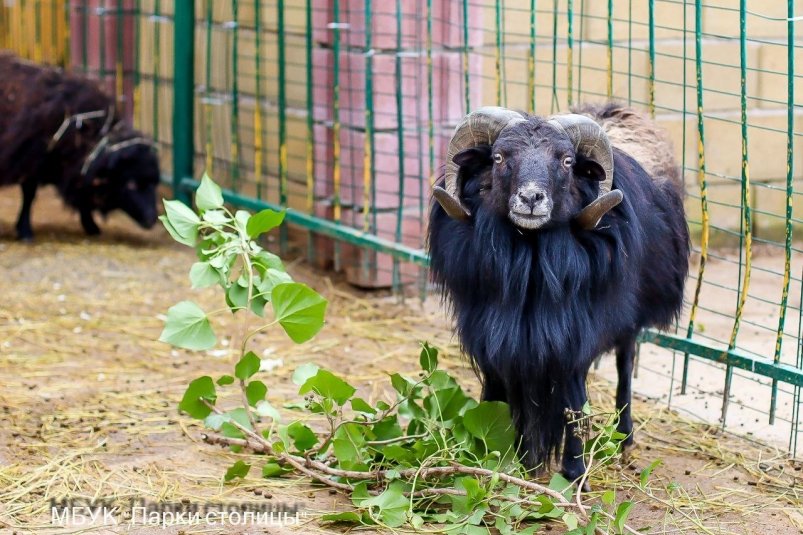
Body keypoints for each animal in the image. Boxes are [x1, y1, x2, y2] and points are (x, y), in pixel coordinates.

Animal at [0, 52, 159, 241]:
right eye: (131, 184)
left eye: (154, 183)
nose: (152, 219)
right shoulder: (30, 161)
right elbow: (29, 195)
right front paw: (25, 230)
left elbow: (84, 193)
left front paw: (91, 225)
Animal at [430, 102, 688, 484]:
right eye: (498, 157)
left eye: (566, 161)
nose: (531, 198)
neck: (531, 267)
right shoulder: (491, 333)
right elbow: (495, 394)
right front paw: (502, 457)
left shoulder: (573, 338)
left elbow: (573, 403)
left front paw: (574, 471)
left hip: (629, 319)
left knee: (626, 365)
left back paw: (625, 437)